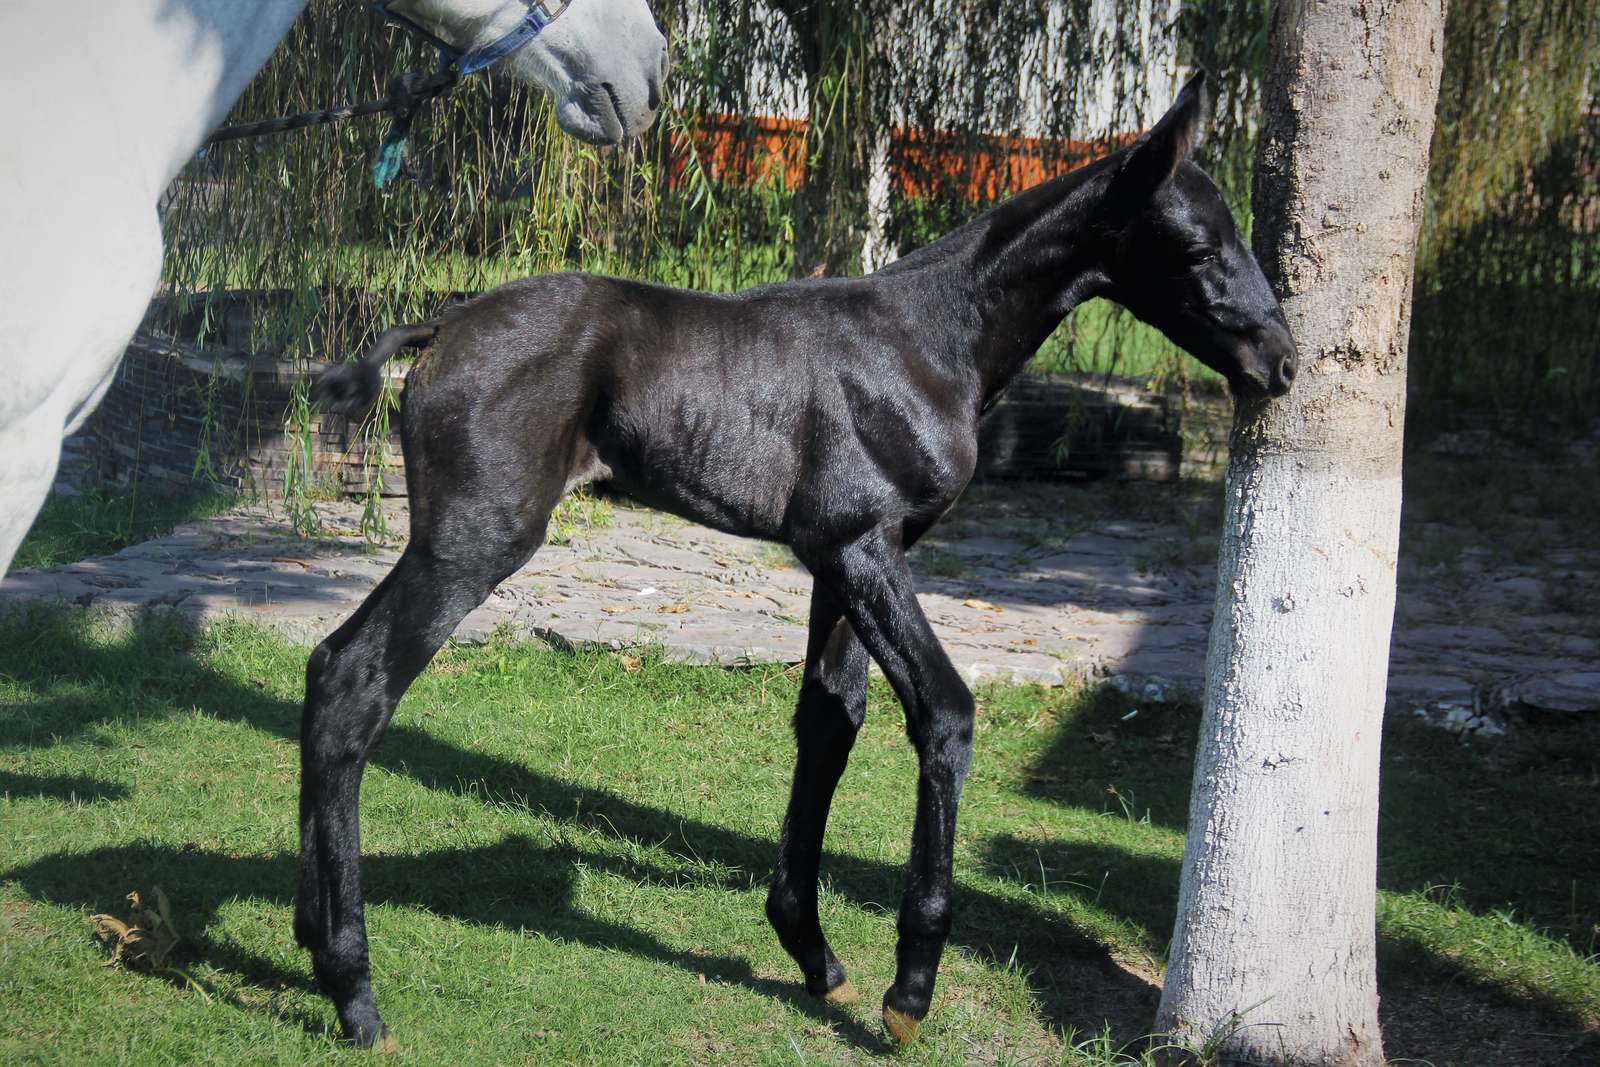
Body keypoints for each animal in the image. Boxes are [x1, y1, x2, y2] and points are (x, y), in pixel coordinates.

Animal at [301, 72, 1297, 1047]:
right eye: (1199, 245)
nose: (1281, 363)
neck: (926, 342)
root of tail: (441, 326)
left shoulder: (833, 560)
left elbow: (830, 720)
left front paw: (810, 948)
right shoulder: (865, 546)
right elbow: (944, 711)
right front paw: (910, 990)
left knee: (324, 665)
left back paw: (314, 937)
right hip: (474, 539)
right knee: (355, 682)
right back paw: (355, 992)